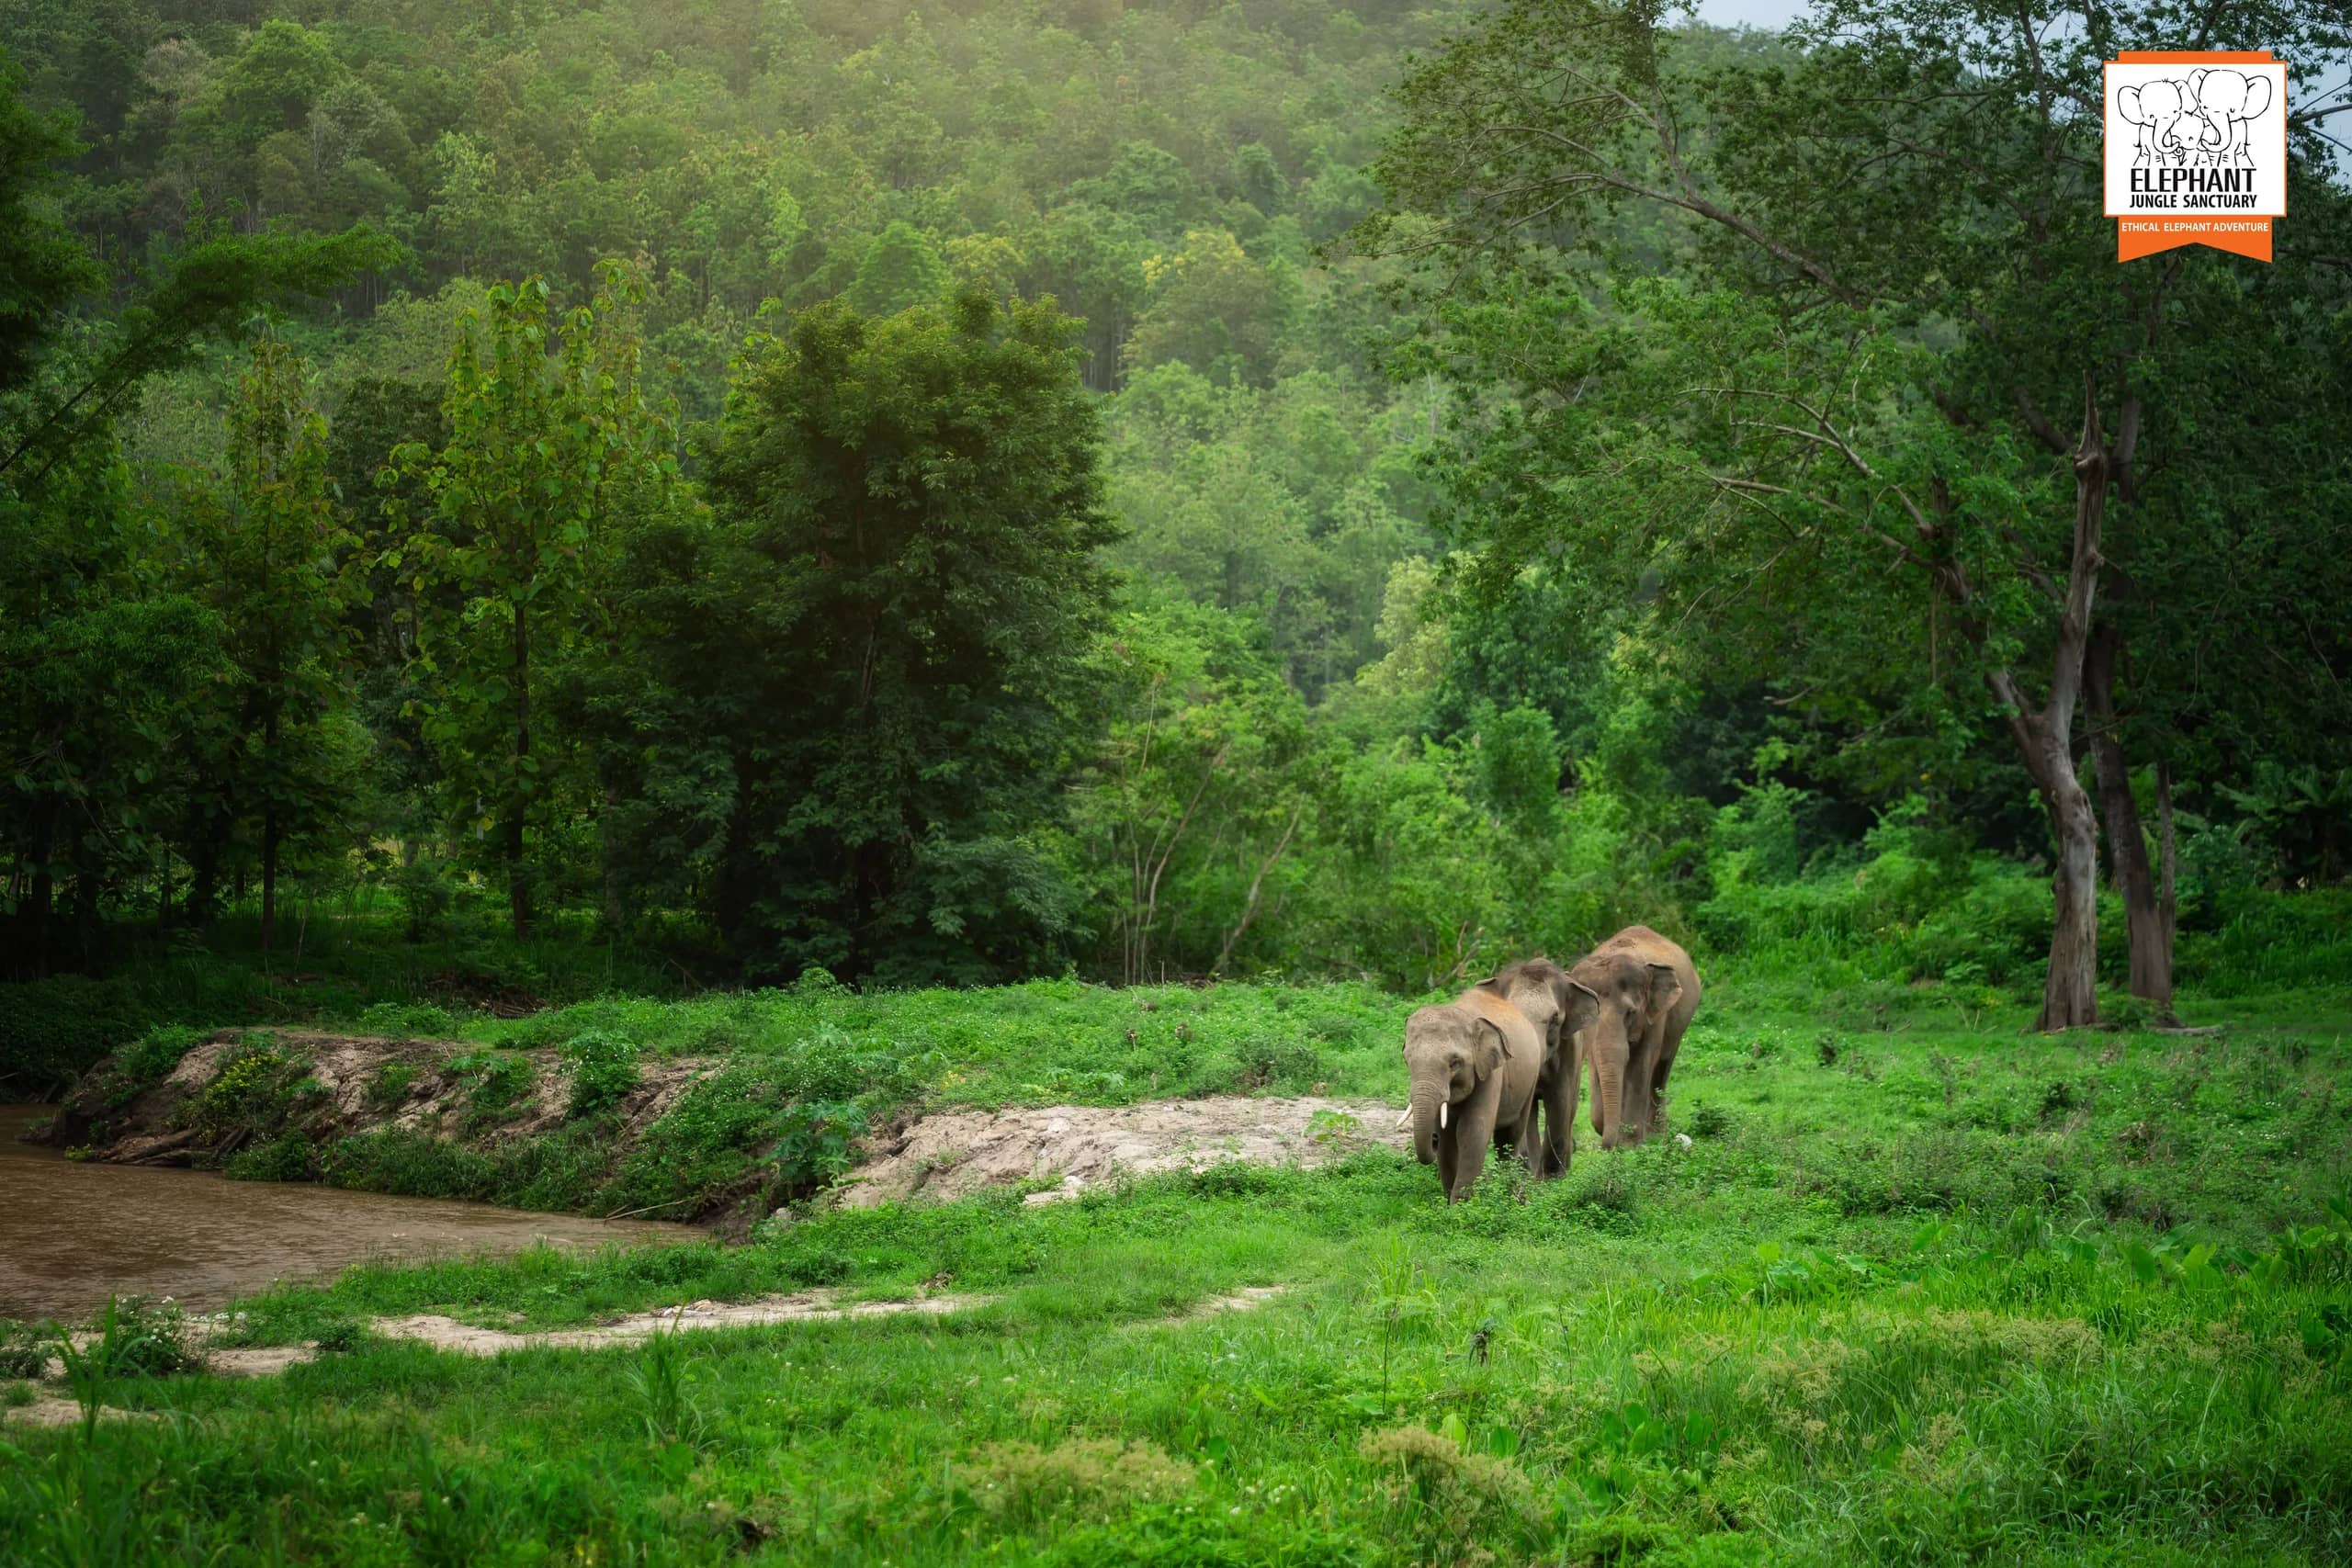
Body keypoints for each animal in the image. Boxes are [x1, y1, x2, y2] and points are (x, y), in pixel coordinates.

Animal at [1398, 985, 1543, 1203]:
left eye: (1455, 1063)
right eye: (1406, 1060)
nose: (1433, 1140)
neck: (1463, 1013)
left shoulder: (1491, 1073)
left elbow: (1473, 1130)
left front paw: (1461, 1205)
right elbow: (1448, 1134)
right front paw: (1447, 1202)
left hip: (1531, 1079)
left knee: (1511, 1135)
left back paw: (1506, 1189)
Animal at [1476, 957, 1600, 1178]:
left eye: (1555, 1019)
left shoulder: (1569, 1050)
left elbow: (1560, 1100)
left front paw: (1551, 1178)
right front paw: (1525, 1173)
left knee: (1570, 1109)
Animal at [1566, 926, 1700, 1151]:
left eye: (1630, 1012)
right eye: (1590, 1015)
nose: (1605, 1146)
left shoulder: (1656, 1016)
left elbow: (1640, 1064)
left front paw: (1630, 1143)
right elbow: (1596, 1065)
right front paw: (1609, 1129)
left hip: (1679, 1026)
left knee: (1661, 1069)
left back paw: (1655, 1134)